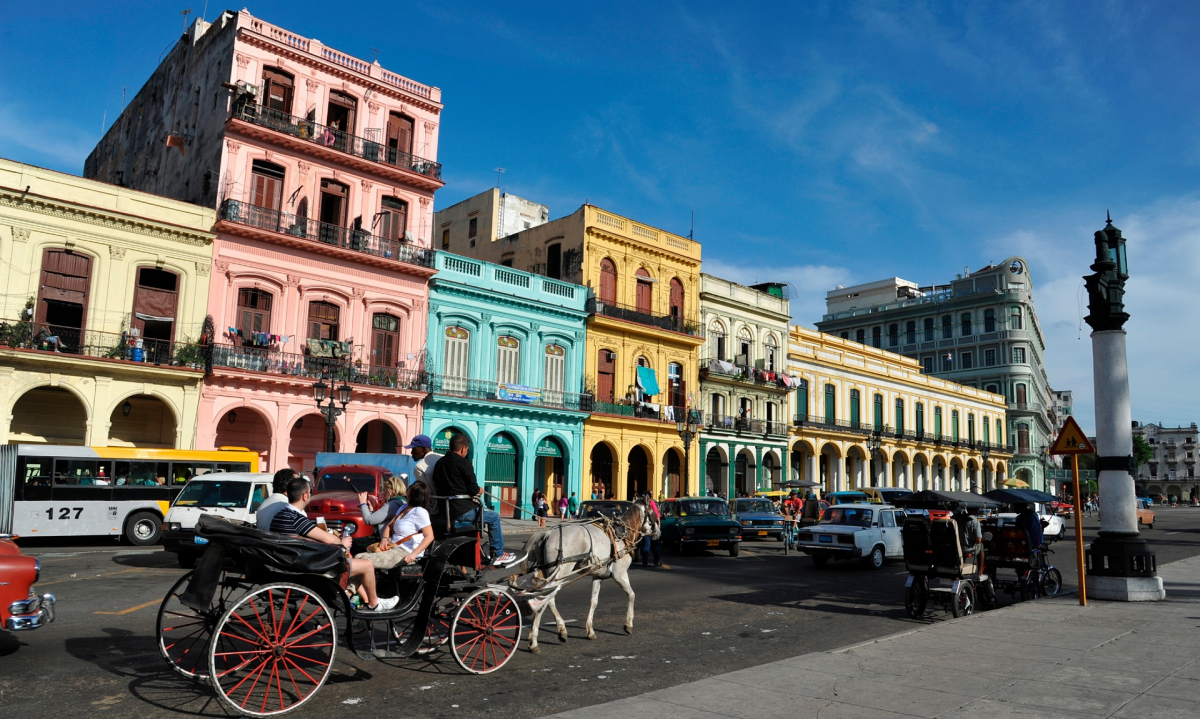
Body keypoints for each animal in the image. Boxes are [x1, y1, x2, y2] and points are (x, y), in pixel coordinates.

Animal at [520, 496, 662, 657]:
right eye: (654, 514)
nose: (658, 532)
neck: (623, 533)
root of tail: (547, 534)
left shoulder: (597, 576)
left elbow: (594, 601)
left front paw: (590, 630)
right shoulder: (620, 574)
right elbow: (631, 595)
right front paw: (628, 625)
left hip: (548, 572)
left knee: (548, 599)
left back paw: (561, 630)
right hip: (561, 572)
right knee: (545, 599)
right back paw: (534, 641)